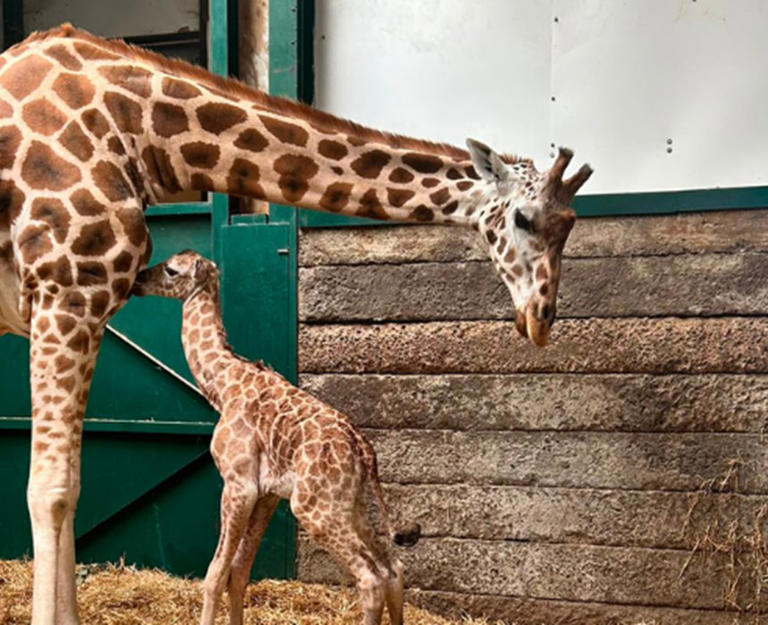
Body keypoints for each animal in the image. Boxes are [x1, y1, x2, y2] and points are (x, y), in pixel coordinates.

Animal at [132, 250, 422, 625]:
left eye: (170, 269)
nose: (137, 280)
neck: (222, 384)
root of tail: (364, 452)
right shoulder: (267, 494)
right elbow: (239, 573)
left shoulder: (238, 483)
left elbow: (214, 574)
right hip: (353, 504)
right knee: (393, 568)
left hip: (314, 507)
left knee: (371, 577)